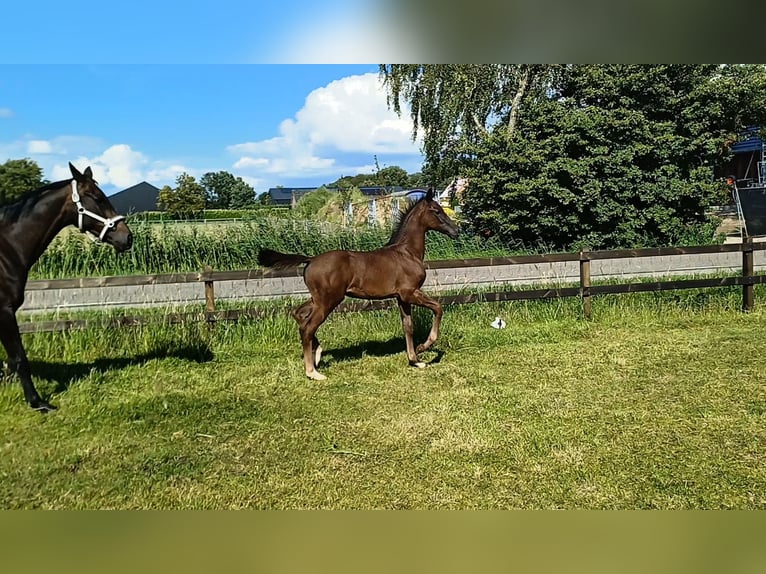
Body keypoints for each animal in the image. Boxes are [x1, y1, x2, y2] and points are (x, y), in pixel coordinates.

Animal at [0, 164, 133, 412]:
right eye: (97, 198)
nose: (127, 237)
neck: (7, 251)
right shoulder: (4, 311)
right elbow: (20, 359)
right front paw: (37, 402)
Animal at [260, 189, 460, 384]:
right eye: (436, 211)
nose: (456, 231)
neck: (407, 253)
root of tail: (310, 260)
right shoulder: (410, 293)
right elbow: (438, 307)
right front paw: (423, 347)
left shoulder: (401, 297)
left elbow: (408, 327)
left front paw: (415, 360)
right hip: (328, 300)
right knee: (308, 327)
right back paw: (312, 372)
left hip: (318, 299)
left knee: (299, 315)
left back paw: (317, 355)